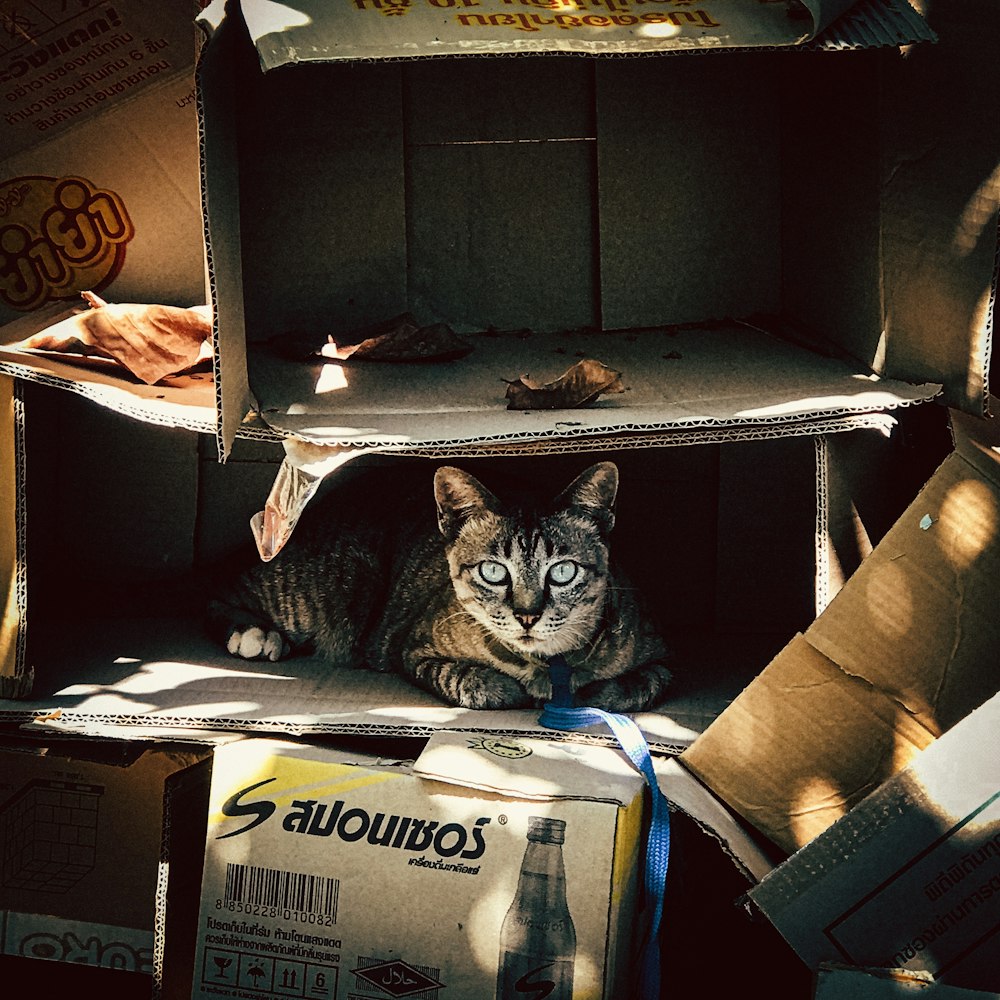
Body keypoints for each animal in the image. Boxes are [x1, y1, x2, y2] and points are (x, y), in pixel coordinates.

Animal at [205, 460, 672, 712]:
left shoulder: (663, 661)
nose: (527, 615)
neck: (545, 666)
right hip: (332, 590)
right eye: (493, 571)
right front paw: (505, 688)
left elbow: (626, 688)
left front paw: (589, 690)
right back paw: (254, 631)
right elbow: (469, 681)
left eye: (562, 572)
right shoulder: (410, 648)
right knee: (215, 589)